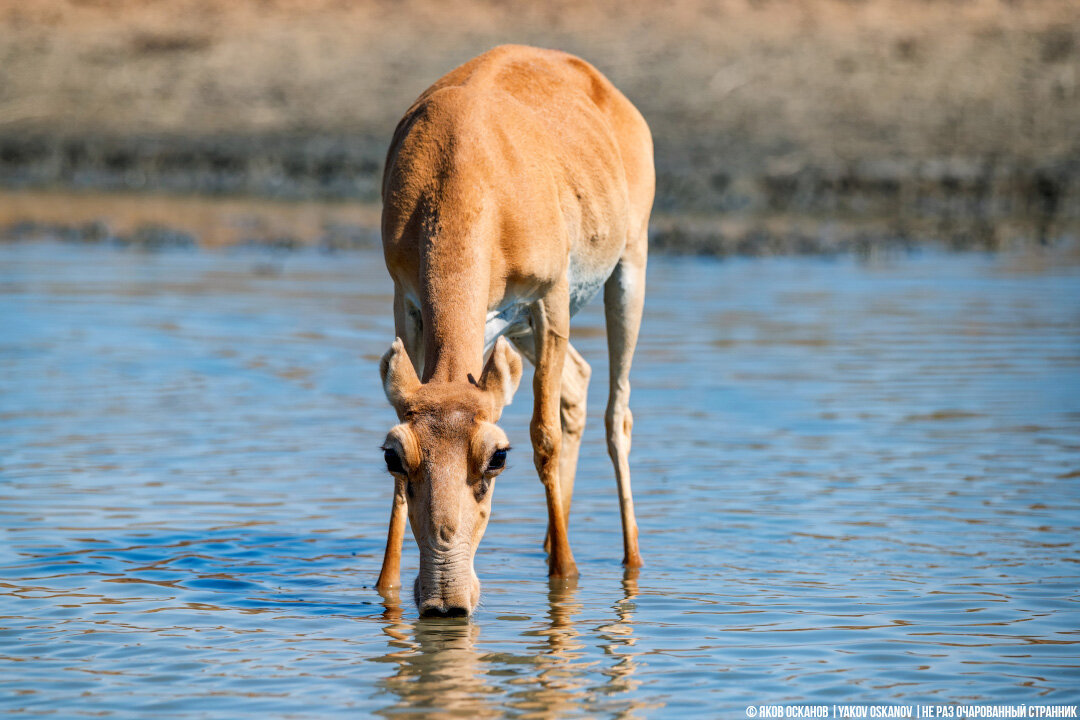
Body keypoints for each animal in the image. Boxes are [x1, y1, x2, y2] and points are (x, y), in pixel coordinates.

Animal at [375, 45, 652, 617]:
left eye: (497, 457)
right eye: (394, 455)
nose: (445, 603)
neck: (464, 166)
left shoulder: (549, 302)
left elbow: (544, 436)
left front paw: (565, 575)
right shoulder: (405, 302)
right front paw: (385, 589)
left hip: (627, 271)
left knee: (618, 414)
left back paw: (629, 560)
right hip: (508, 332)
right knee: (578, 382)